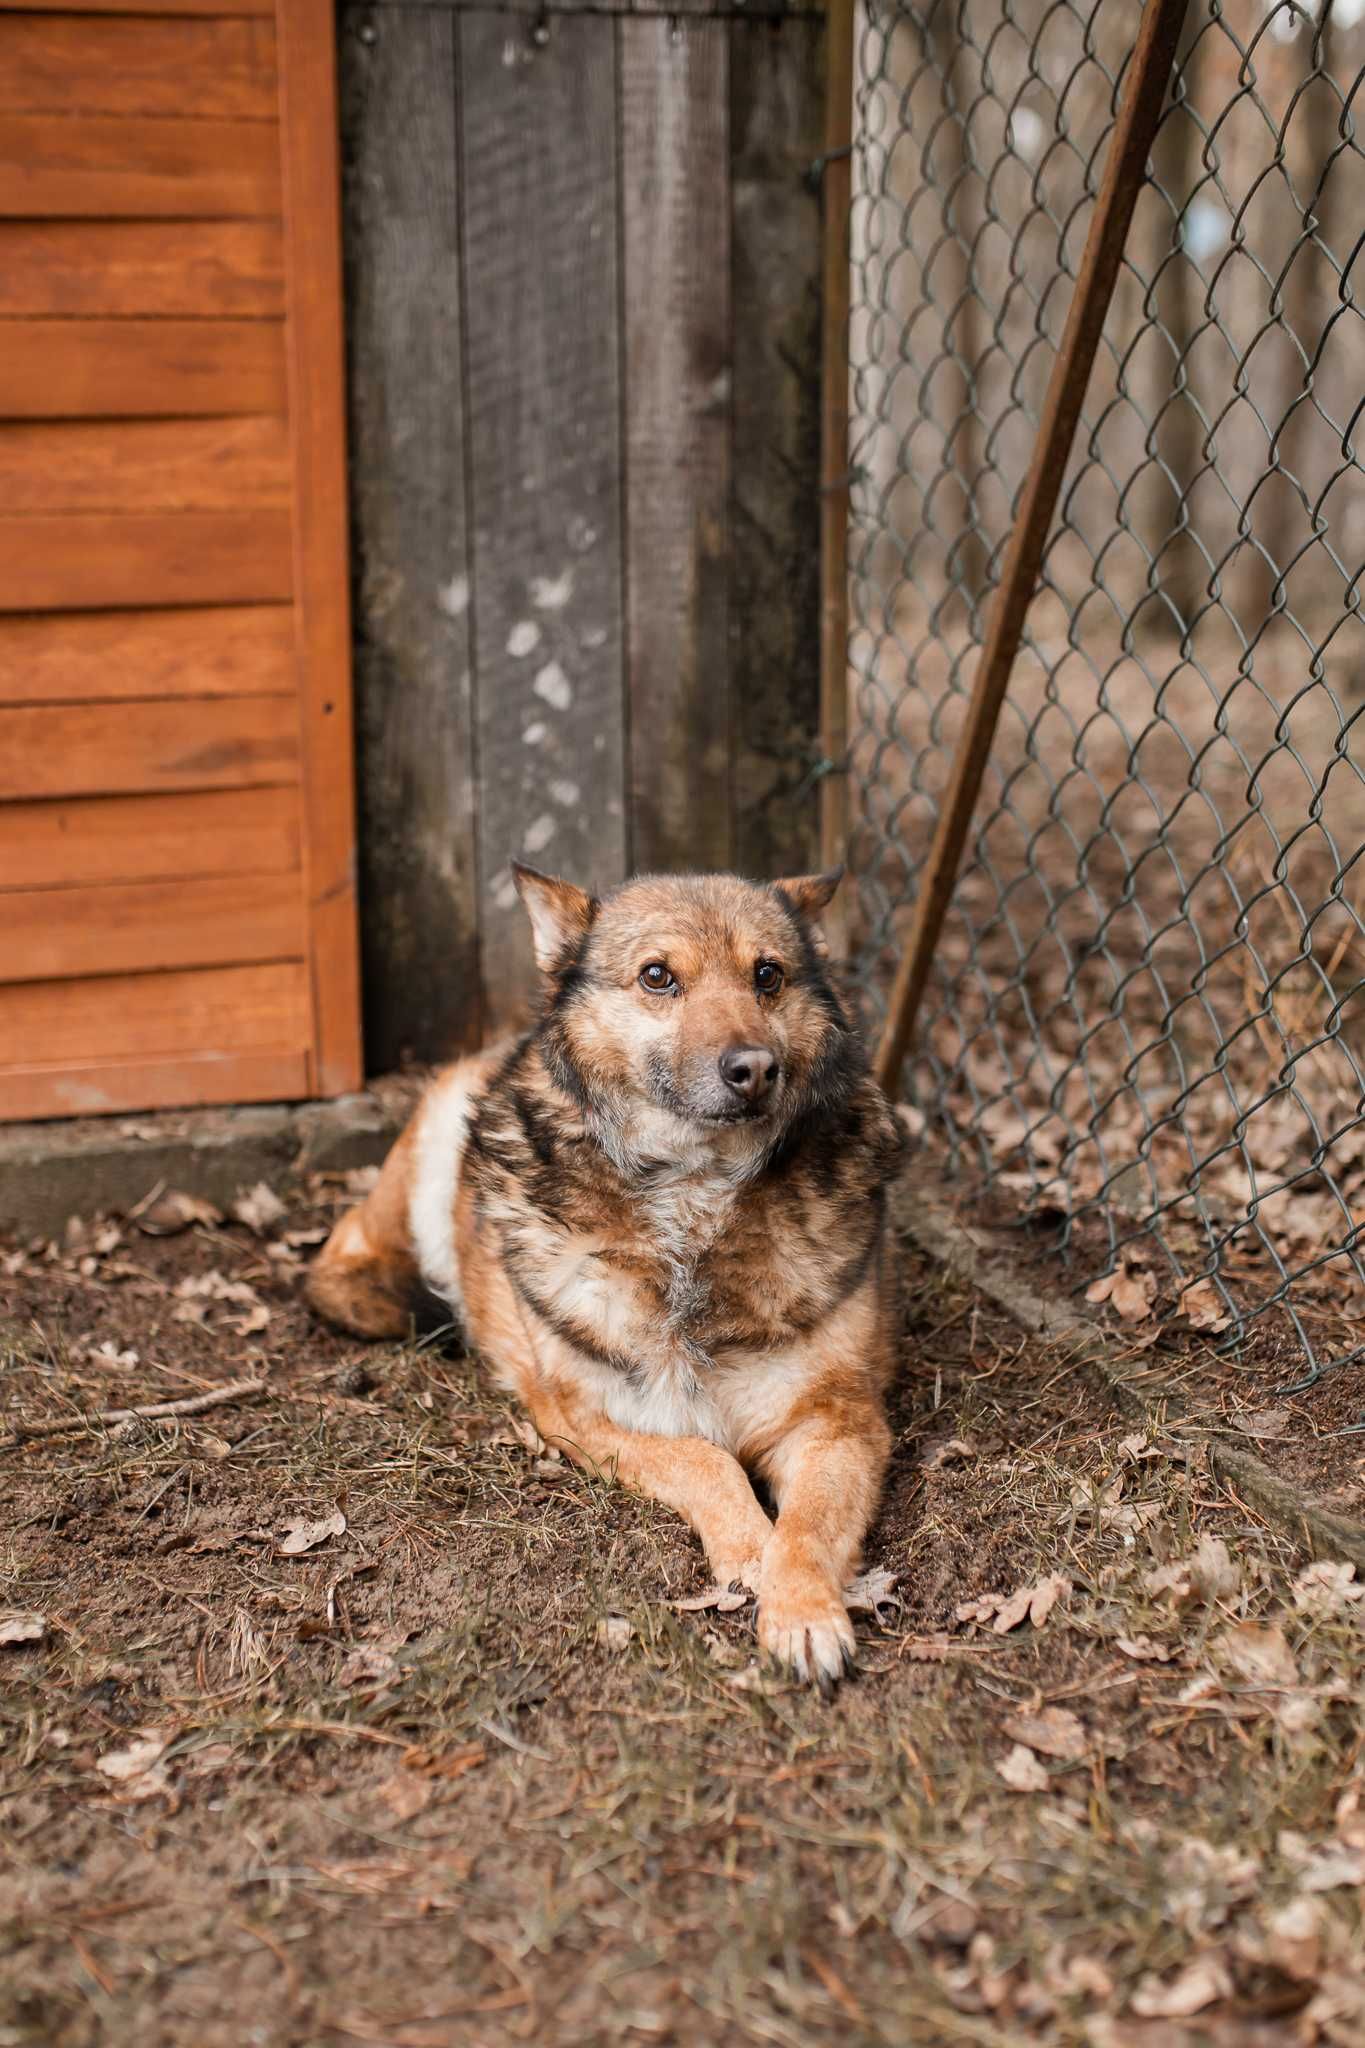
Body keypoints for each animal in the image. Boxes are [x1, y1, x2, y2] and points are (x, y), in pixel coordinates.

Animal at [309, 864, 908, 1679]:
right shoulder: (588, 1417)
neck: (693, 1195)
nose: (755, 1069)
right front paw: (751, 1552)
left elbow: (808, 1528)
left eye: (768, 976)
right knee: (341, 1251)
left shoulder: (839, 1423)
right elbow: (706, 1461)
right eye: (657, 977)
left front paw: (803, 1608)